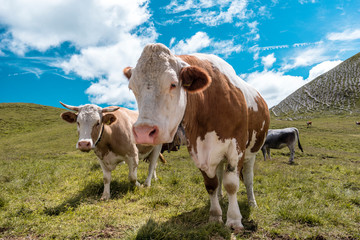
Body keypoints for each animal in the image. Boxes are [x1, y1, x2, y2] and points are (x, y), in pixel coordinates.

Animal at [122, 43, 268, 231]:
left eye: (173, 84)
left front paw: (234, 220)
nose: (143, 132)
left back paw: (252, 203)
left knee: (248, 179)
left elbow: (232, 184)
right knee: (219, 174)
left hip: (252, 152)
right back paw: (220, 197)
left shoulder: (236, 149)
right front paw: (215, 215)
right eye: (132, 88)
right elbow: (211, 184)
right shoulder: (198, 150)